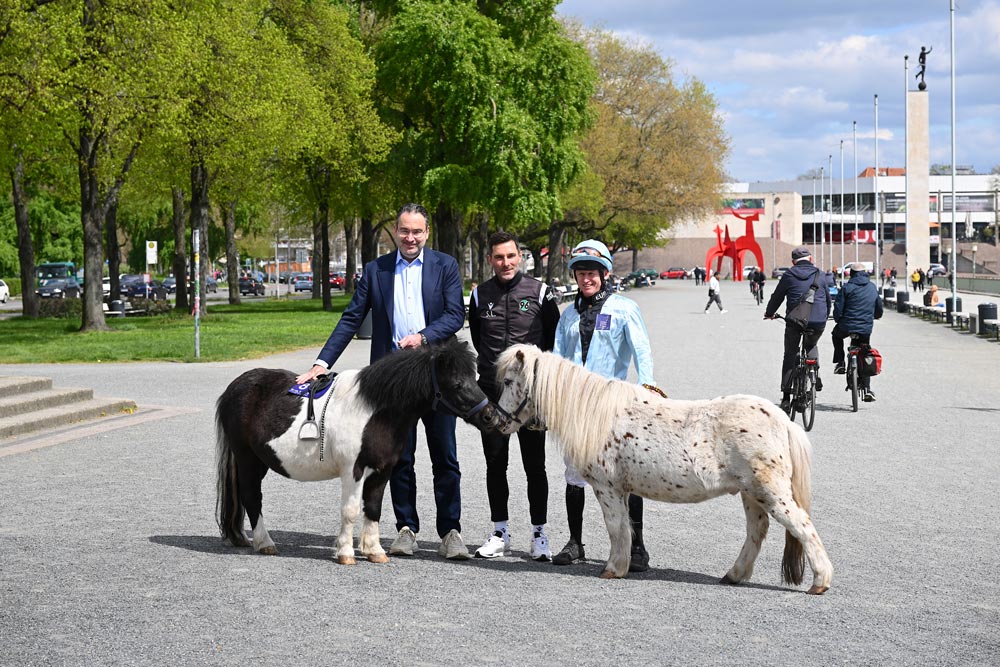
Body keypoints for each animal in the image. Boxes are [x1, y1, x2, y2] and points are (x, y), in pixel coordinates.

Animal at [215, 340, 496, 564]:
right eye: (457, 384)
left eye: (474, 379)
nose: (491, 416)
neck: (373, 410)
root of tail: (235, 387)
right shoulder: (354, 471)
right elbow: (350, 511)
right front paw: (346, 553)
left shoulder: (382, 472)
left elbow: (373, 509)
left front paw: (374, 552)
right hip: (248, 459)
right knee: (252, 497)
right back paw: (265, 543)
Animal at [496, 344, 832, 596]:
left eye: (509, 381)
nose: (492, 418)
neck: (596, 414)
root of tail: (784, 421)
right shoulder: (620, 489)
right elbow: (625, 526)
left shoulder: (607, 487)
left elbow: (615, 527)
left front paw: (613, 569)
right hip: (750, 493)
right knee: (756, 532)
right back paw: (734, 575)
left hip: (769, 492)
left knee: (802, 526)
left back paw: (820, 582)